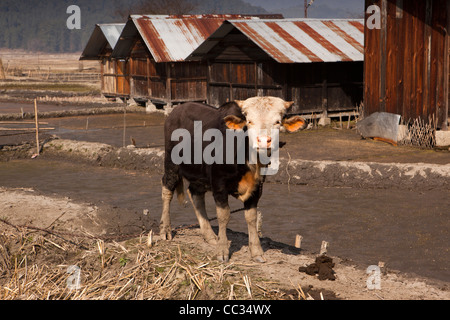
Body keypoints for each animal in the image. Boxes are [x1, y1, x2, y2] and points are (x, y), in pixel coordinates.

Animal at [159, 97, 306, 262]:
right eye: (249, 121)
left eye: (277, 122)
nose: (263, 141)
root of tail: (175, 112)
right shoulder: (219, 185)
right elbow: (224, 216)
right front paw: (222, 251)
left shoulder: (257, 188)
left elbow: (251, 217)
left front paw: (256, 252)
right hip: (171, 163)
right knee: (167, 189)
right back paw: (165, 230)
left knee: (195, 194)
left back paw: (210, 236)